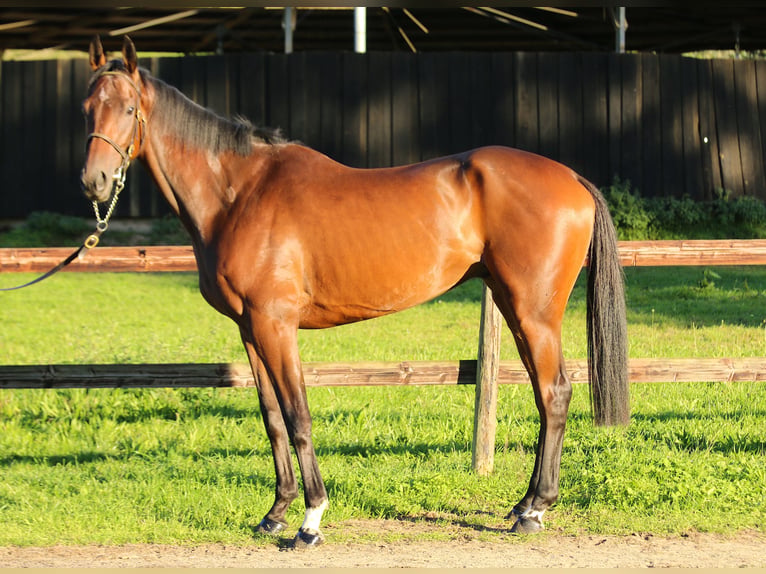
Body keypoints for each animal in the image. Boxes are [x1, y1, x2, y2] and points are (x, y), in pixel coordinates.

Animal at [80, 36, 629, 548]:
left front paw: (310, 520)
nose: (94, 181)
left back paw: (535, 510)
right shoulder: (250, 330)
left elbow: (298, 416)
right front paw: (275, 513)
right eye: (87, 107)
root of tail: (571, 177)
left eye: (128, 109)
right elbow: (272, 418)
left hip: (533, 313)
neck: (239, 194)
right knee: (544, 394)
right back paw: (523, 504)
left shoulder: (276, 325)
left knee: (554, 394)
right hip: (514, 309)